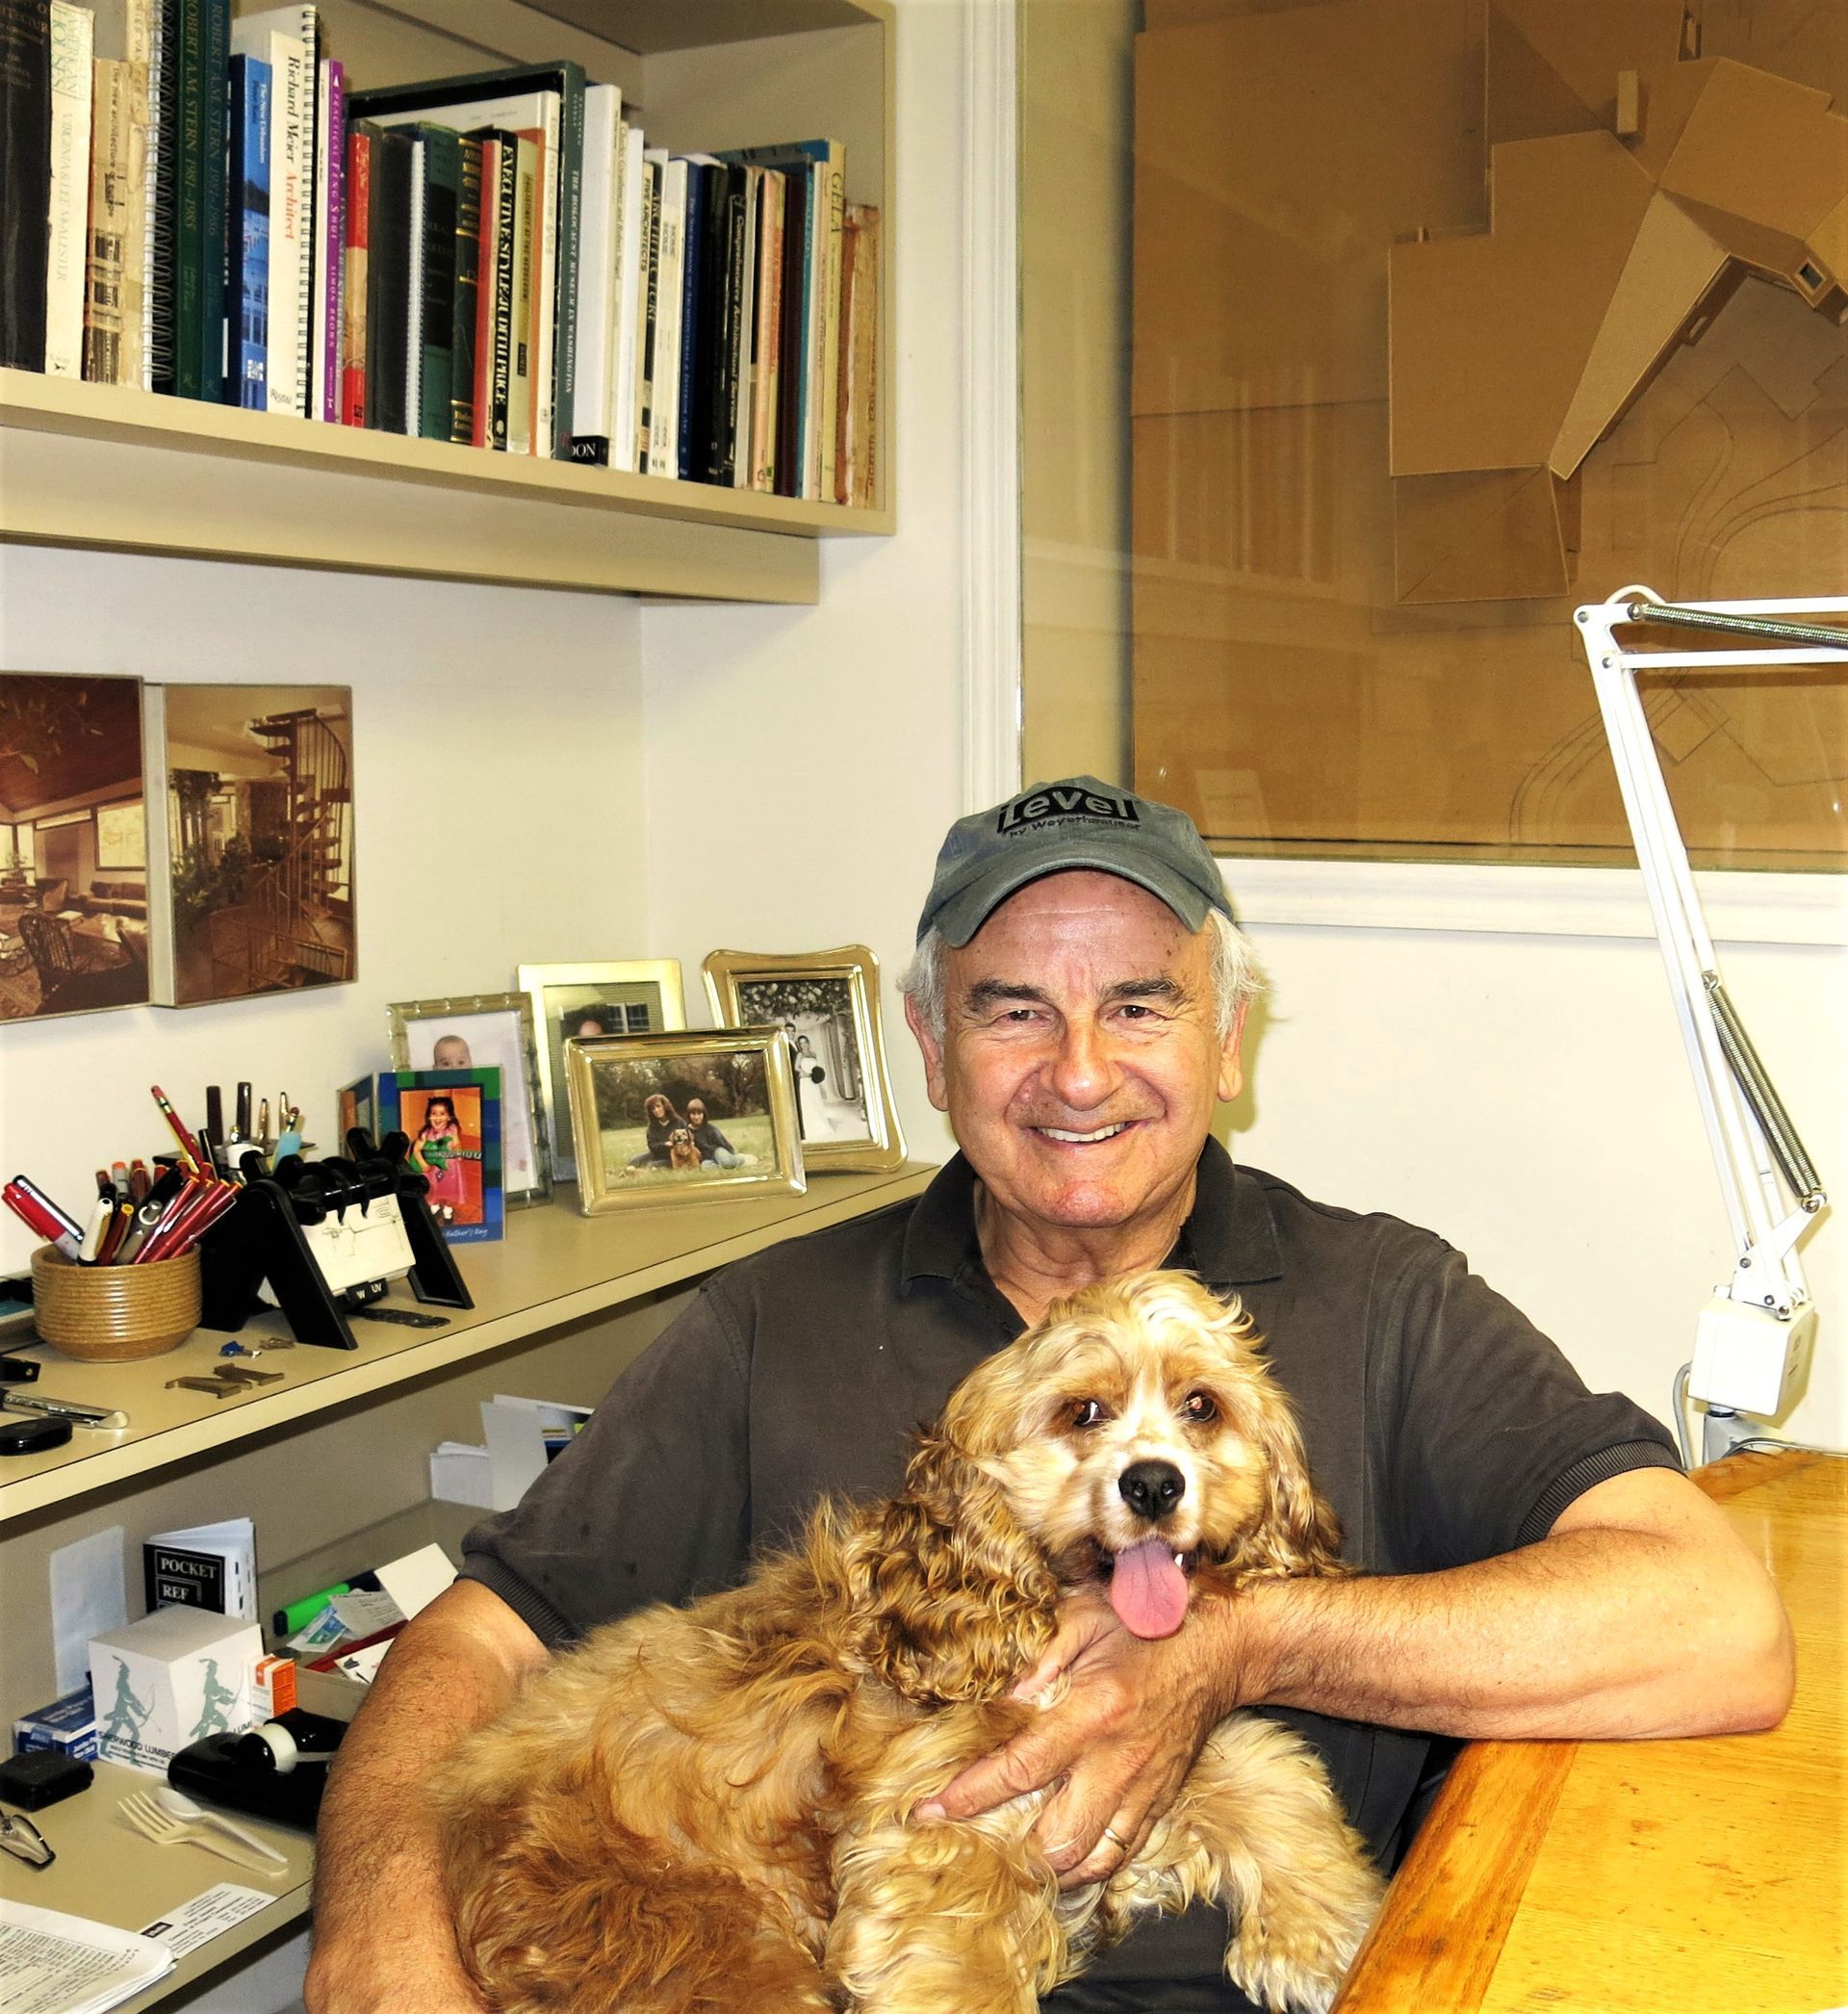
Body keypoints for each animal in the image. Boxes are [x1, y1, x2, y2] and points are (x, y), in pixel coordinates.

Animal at [436, 1264, 1384, 2005]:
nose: (1154, 1484)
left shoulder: (1148, 1762)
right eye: (1082, 1412)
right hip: (714, 1951)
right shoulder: (940, 1841)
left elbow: (1273, 1777)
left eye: (1201, 1406)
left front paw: (1327, 1940)